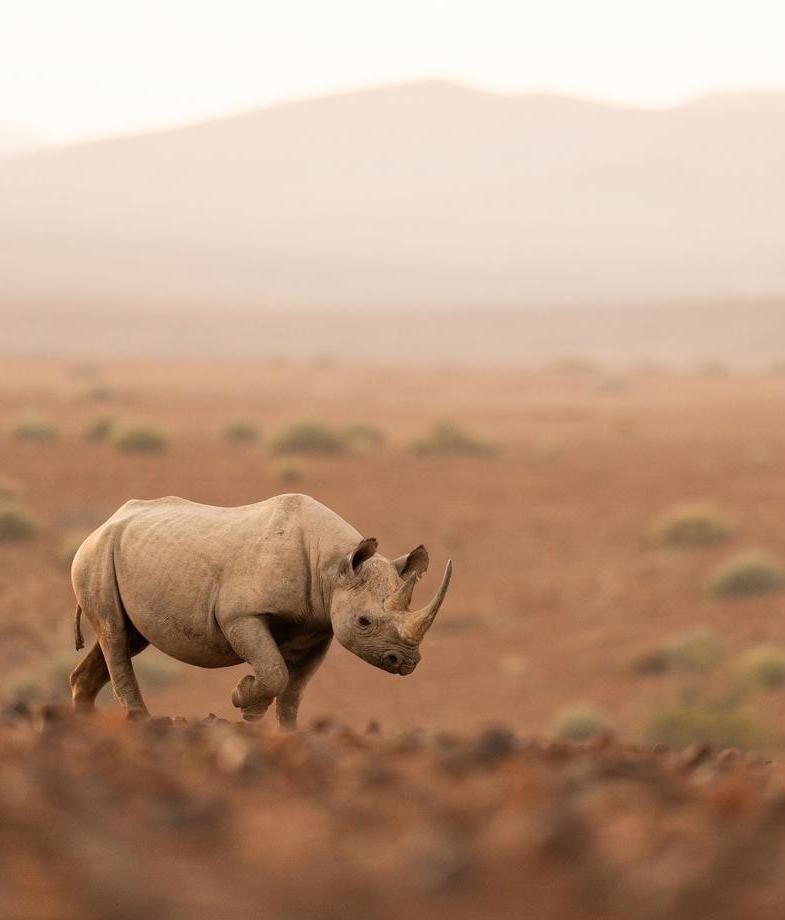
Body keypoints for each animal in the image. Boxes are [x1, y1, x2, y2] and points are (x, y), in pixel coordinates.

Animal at [69, 493, 452, 726]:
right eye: (363, 621)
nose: (405, 662)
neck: (333, 566)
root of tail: (103, 523)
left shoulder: (318, 627)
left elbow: (293, 690)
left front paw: (274, 725)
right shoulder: (241, 615)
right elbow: (275, 672)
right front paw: (243, 695)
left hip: (122, 554)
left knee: (126, 637)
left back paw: (84, 722)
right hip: (96, 554)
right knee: (114, 634)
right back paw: (140, 721)